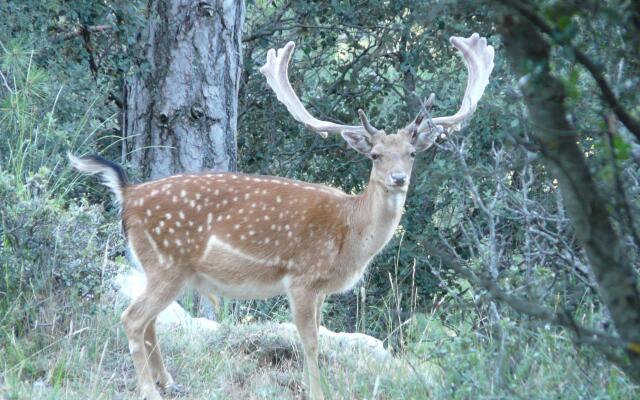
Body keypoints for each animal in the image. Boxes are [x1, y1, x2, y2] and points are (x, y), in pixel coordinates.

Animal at [69, 34, 496, 400]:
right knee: (132, 318)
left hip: (159, 267)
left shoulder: (320, 288)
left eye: (411, 153)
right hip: (167, 261)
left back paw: (168, 381)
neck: (349, 232)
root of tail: (128, 193)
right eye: (375, 155)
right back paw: (148, 388)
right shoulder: (302, 277)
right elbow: (309, 341)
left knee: (150, 320)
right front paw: (317, 392)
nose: (398, 178)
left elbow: (316, 338)